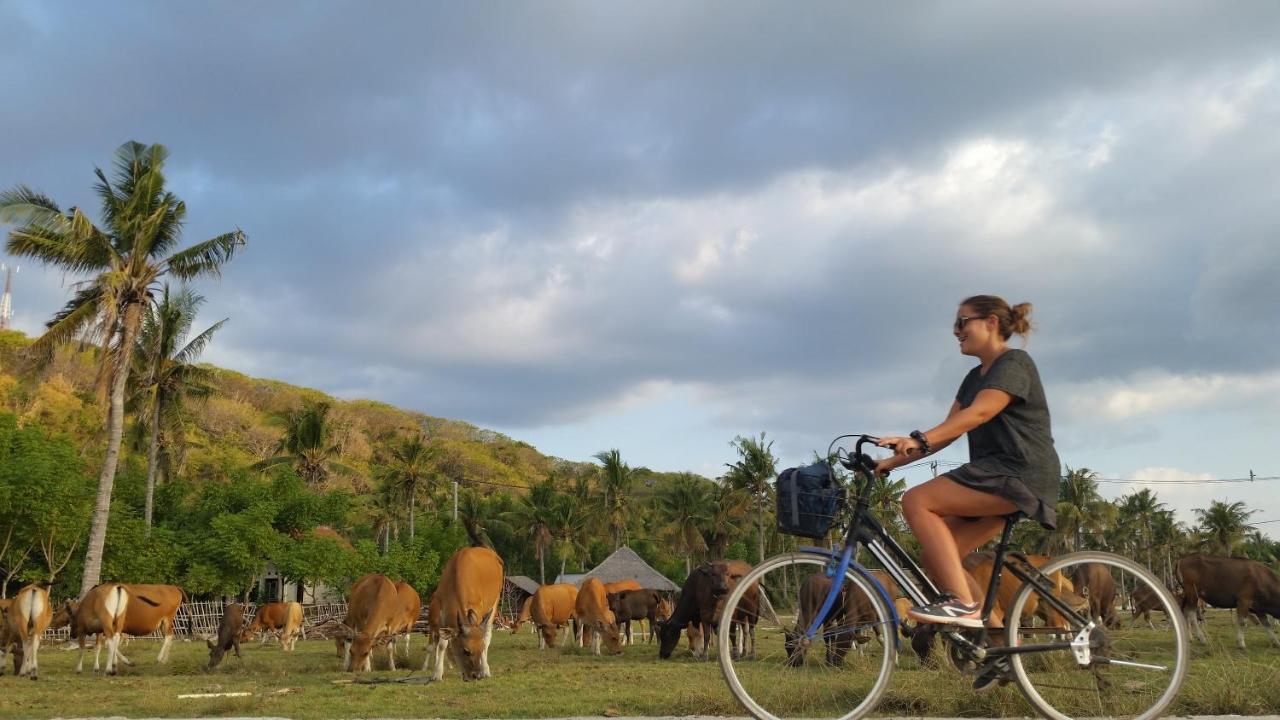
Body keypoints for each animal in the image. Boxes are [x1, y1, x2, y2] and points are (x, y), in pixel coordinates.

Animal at [432, 543, 506, 676]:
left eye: (480, 649)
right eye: (466, 651)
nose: (476, 675)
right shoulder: (442, 608)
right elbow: (442, 644)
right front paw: (437, 673)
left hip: (495, 602)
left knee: (487, 634)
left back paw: (486, 669)